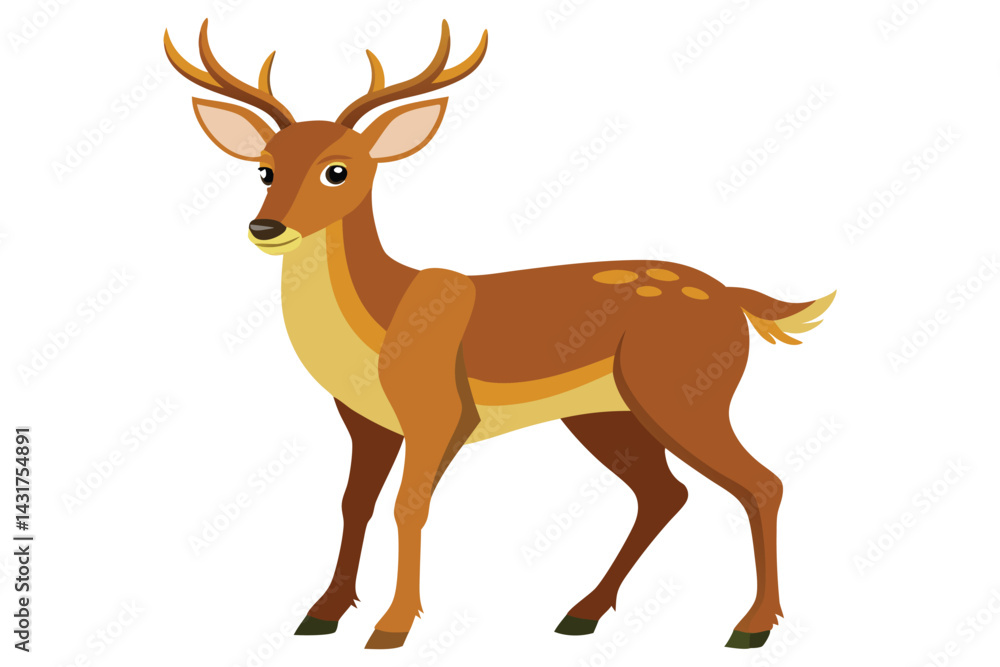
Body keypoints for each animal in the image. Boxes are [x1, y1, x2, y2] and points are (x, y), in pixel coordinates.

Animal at [165, 19, 835, 651]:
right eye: (264, 170)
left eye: (338, 170)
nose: (266, 226)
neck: (384, 321)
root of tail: (736, 299)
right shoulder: (365, 419)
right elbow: (354, 503)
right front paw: (321, 614)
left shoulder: (441, 408)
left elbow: (409, 505)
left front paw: (393, 626)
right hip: (605, 413)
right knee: (665, 493)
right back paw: (581, 613)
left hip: (685, 392)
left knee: (761, 483)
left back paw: (751, 626)